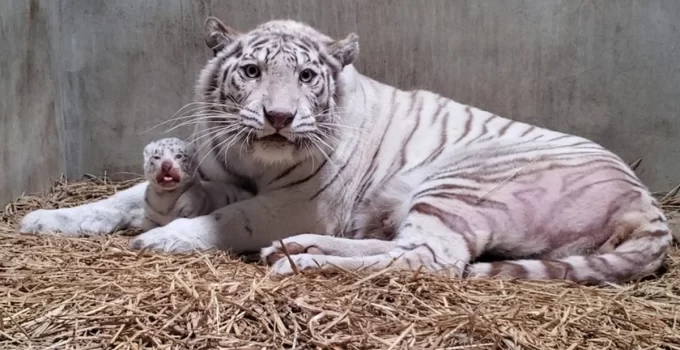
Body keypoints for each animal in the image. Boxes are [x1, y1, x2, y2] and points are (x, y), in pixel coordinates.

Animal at [18, 15, 672, 284]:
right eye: (252, 71)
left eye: (308, 77)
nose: (279, 117)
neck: (254, 160)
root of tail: (646, 202)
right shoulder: (223, 174)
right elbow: (117, 200)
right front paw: (46, 219)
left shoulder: (293, 203)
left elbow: (228, 220)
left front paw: (164, 238)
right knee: (405, 248)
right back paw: (302, 250)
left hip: (459, 182)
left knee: (432, 259)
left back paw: (300, 260)